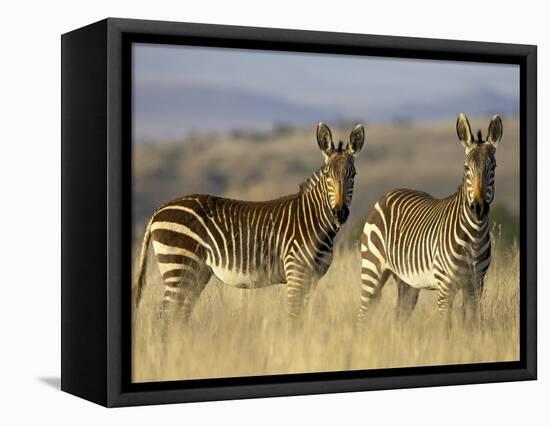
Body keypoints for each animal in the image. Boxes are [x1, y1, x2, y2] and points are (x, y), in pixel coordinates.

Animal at [134, 121, 366, 324]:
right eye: (327, 175)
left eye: (353, 175)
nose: (340, 213)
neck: (314, 221)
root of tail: (159, 210)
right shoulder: (296, 273)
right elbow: (293, 318)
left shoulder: (312, 278)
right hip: (179, 267)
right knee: (165, 316)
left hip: (196, 273)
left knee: (178, 315)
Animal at [358, 113, 504, 326]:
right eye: (466, 168)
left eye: (493, 168)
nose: (478, 207)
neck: (474, 237)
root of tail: (387, 194)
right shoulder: (445, 288)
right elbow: (446, 327)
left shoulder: (476, 285)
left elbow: (472, 325)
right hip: (372, 268)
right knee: (363, 313)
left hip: (407, 281)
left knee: (399, 315)